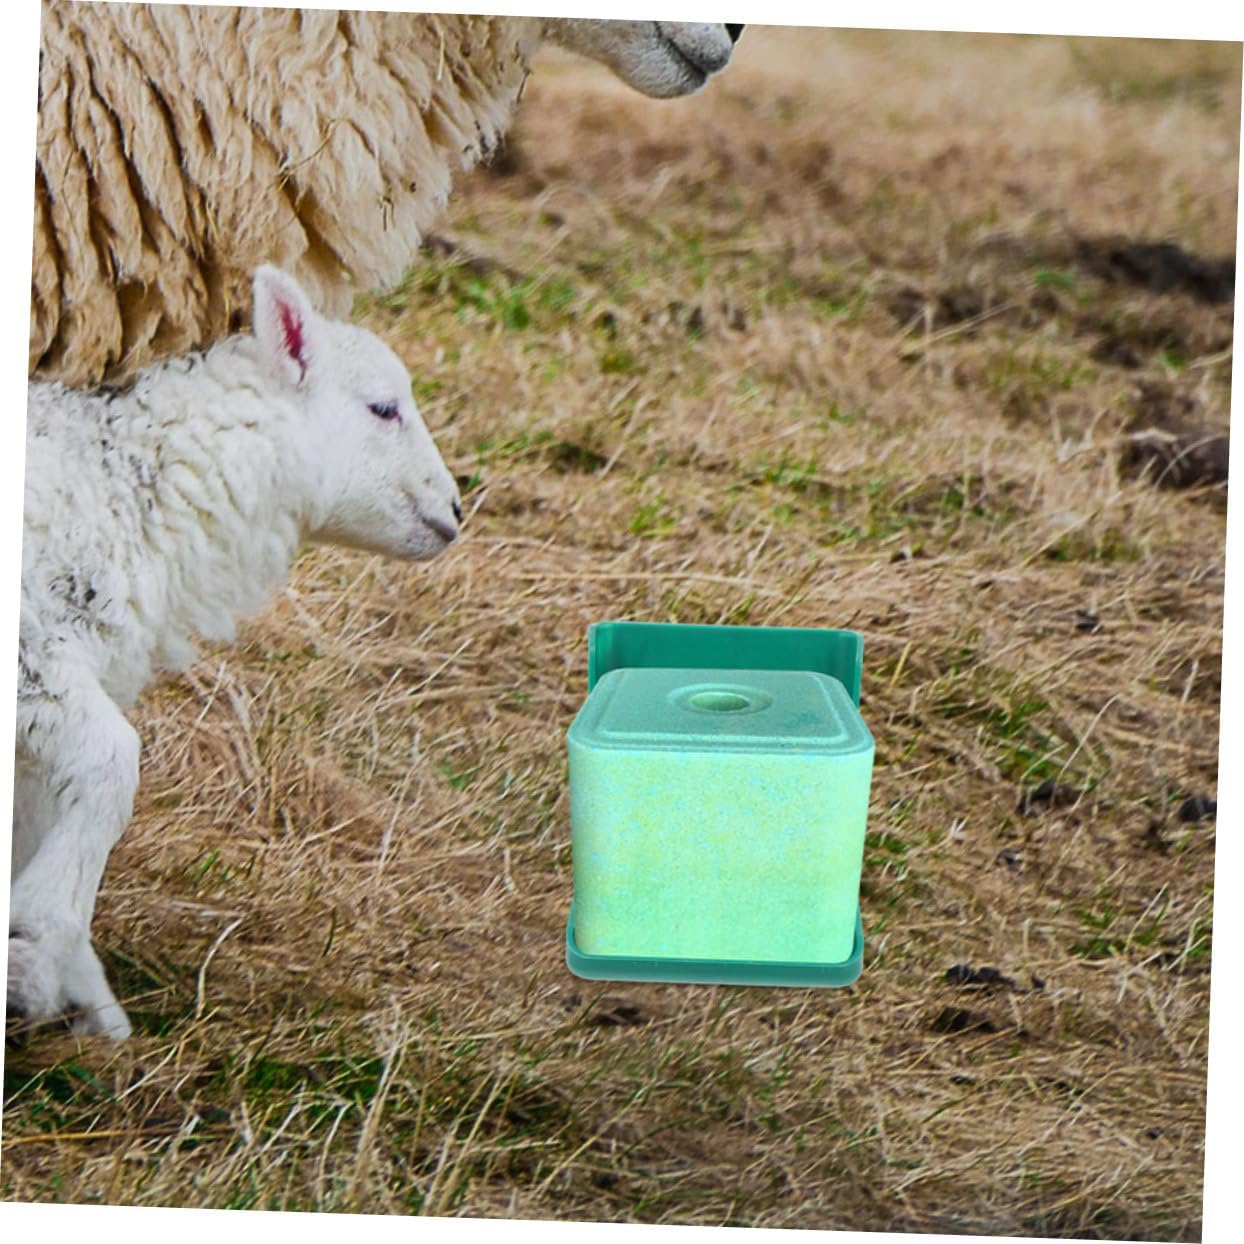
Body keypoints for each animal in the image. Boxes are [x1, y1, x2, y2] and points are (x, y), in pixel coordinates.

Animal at [10, 264, 462, 1039]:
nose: (456, 512)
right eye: (382, 409)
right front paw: (37, 947)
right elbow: (111, 768)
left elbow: (46, 812)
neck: (125, 484)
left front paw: (96, 1014)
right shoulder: (35, 653)